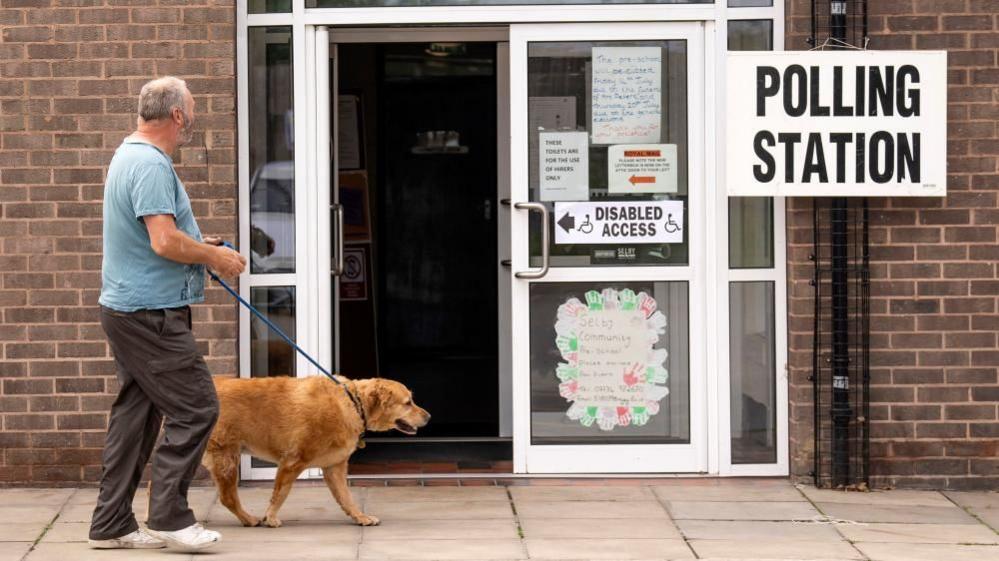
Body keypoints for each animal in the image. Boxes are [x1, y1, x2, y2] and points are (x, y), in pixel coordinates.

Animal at [203, 374, 430, 528]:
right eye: (408, 402)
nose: (429, 417)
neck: (353, 404)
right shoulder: (292, 461)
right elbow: (280, 494)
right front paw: (271, 517)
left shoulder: (334, 466)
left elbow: (346, 497)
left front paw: (360, 517)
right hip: (226, 457)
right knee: (228, 497)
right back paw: (249, 519)